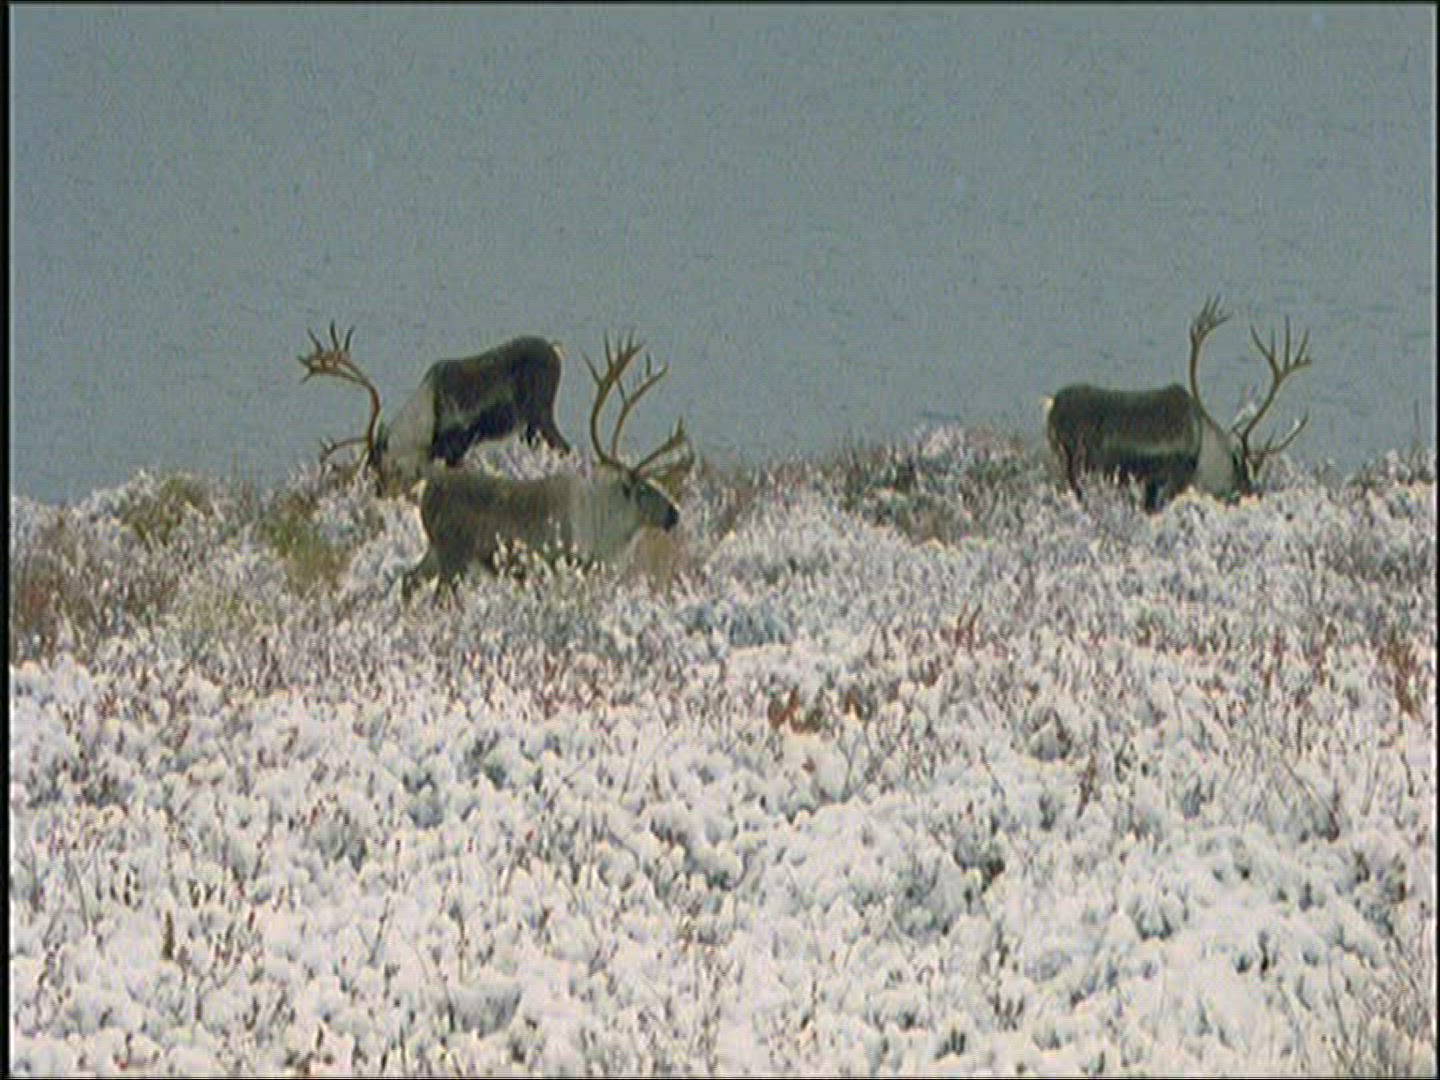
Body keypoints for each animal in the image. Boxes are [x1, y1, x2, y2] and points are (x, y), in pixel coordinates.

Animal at [297, 325, 571, 494]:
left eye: (380, 466)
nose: (381, 493)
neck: (425, 421)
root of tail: (554, 349)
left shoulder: (457, 446)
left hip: (540, 413)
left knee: (564, 447)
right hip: (530, 426)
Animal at [401, 335, 694, 597]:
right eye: (643, 488)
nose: (674, 514)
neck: (606, 524)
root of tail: (428, 491)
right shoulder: (560, 563)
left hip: (435, 551)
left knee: (408, 579)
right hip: (454, 554)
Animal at [1045, 297, 1313, 511]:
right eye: (1243, 475)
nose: (1252, 494)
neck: (1203, 445)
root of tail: (1054, 408)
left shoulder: (1153, 484)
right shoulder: (1173, 477)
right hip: (1078, 464)